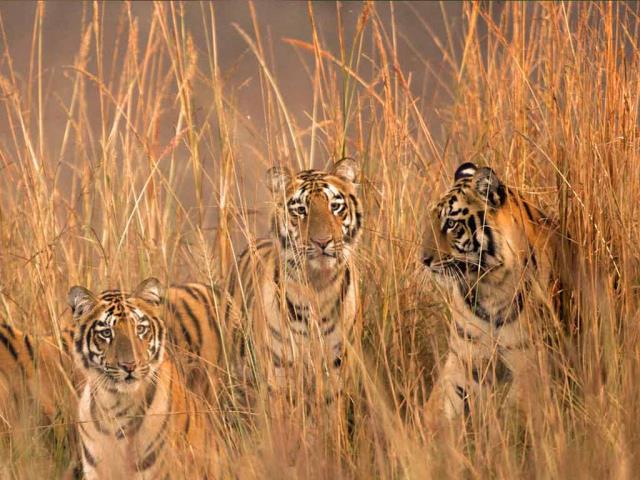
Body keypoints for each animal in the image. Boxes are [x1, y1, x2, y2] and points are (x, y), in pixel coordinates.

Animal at [226, 158, 363, 409]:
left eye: (335, 207)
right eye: (300, 210)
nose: (322, 242)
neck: (318, 287)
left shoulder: (336, 372)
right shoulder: (279, 377)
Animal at [420, 162, 570, 427]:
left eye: (451, 224)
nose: (424, 260)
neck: (488, 286)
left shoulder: (528, 362)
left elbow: (513, 414)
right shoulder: (464, 360)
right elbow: (438, 408)